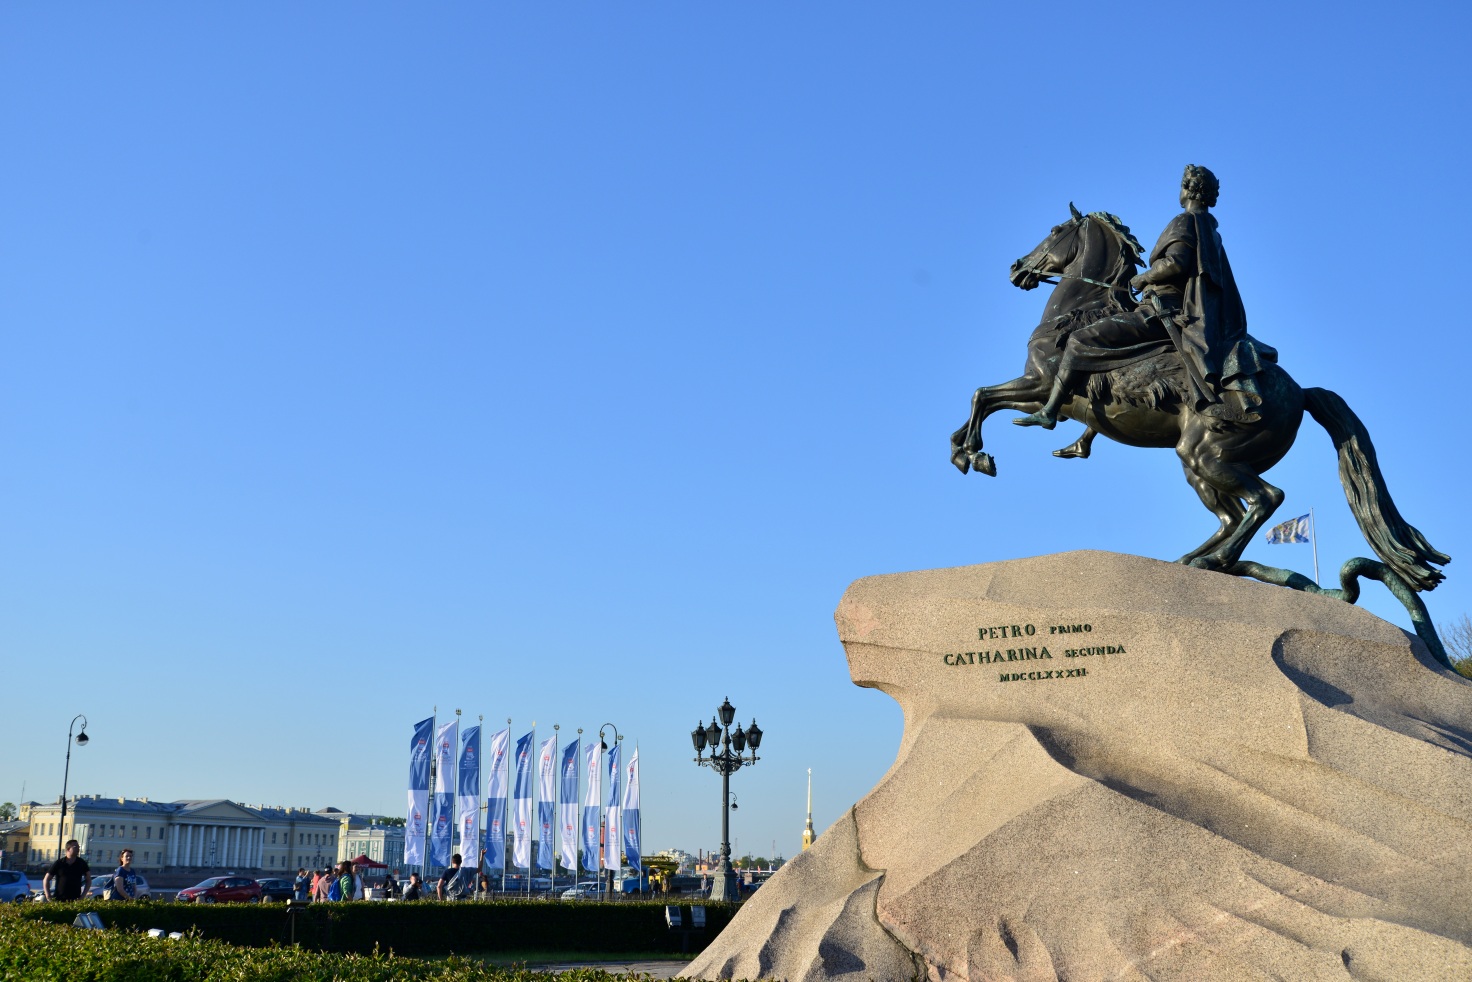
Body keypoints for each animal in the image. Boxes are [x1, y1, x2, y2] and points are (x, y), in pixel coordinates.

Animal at [947, 204, 1442, 594]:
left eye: (1054, 230)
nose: (1017, 268)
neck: (1082, 309)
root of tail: (1299, 393)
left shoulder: (1042, 384)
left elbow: (985, 396)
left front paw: (975, 454)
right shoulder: (1048, 394)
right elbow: (983, 400)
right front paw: (964, 450)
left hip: (1207, 454)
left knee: (1266, 499)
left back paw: (1211, 561)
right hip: (1198, 463)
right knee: (1232, 516)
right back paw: (1193, 560)